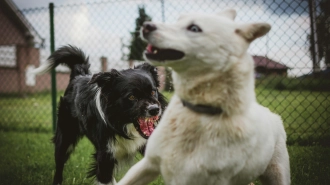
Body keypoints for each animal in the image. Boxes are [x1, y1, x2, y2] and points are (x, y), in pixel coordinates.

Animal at [33, 45, 166, 185]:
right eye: (132, 97)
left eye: (153, 92)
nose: (155, 109)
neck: (123, 125)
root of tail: (79, 75)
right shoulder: (105, 156)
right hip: (65, 136)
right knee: (59, 163)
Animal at [117, 9, 290, 184]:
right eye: (179, 20)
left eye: (194, 28)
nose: (146, 26)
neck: (198, 114)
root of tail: (272, 114)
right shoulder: (148, 164)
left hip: (277, 174)